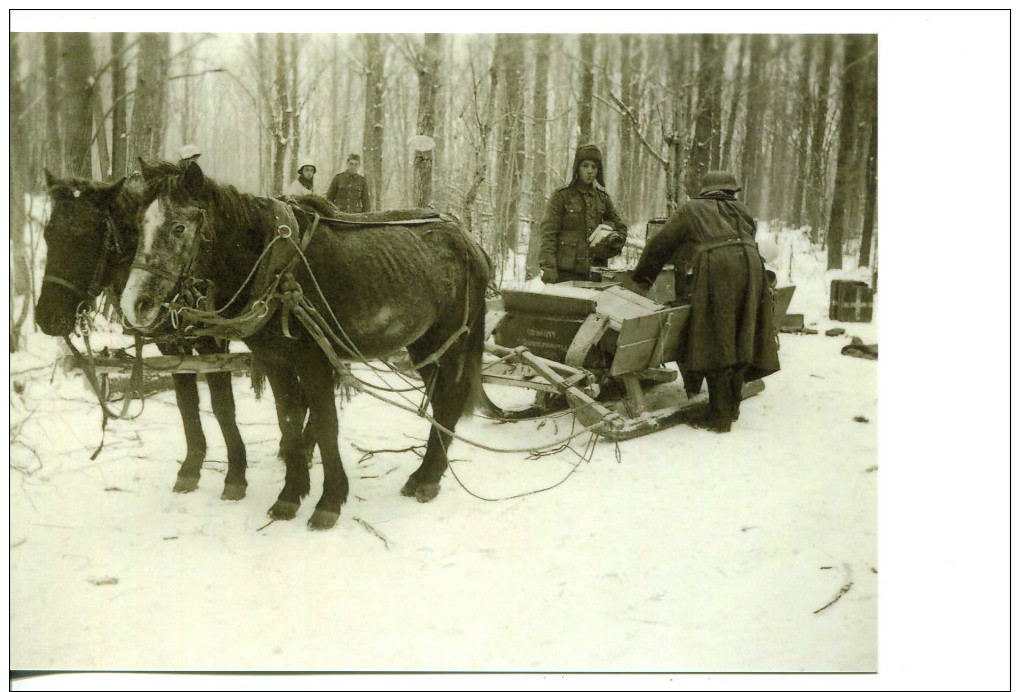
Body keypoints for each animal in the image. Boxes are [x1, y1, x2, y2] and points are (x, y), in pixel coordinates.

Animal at [36, 169, 252, 504]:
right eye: (48, 234)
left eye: (87, 237)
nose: (47, 317)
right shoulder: (170, 345)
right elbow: (186, 402)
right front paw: (191, 468)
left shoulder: (212, 342)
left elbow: (222, 405)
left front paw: (236, 475)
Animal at [119, 162, 493, 530]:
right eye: (137, 224)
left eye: (179, 228)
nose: (134, 305)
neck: (277, 265)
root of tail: (469, 241)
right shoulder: (275, 359)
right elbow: (288, 419)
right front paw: (290, 495)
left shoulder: (315, 359)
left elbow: (326, 424)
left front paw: (329, 501)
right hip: (423, 345)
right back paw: (423, 476)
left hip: (450, 339)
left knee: (449, 398)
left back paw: (428, 478)